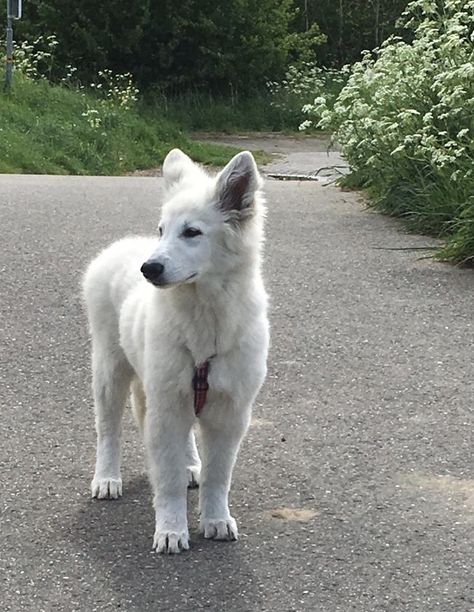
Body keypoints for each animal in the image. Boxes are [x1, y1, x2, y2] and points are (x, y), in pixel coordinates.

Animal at [83, 149, 268, 556]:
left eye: (192, 232)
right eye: (161, 230)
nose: (148, 268)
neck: (205, 318)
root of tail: (121, 246)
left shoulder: (229, 412)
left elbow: (218, 476)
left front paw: (215, 520)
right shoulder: (166, 406)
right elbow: (165, 481)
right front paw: (170, 530)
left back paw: (190, 467)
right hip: (110, 371)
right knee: (108, 431)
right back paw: (107, 478)